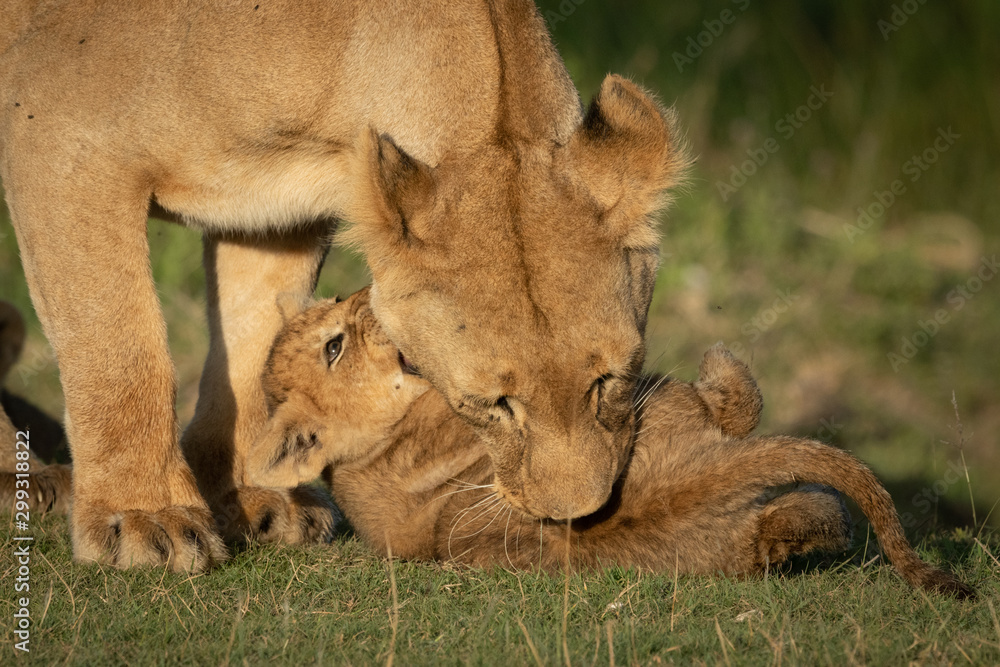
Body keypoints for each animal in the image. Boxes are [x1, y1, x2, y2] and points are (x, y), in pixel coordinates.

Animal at [1, 0, 686, 570]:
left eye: (610, 380)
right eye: (491, 404)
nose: (575, 516)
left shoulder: (270, 206)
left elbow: (252, 343)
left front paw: (251, 494)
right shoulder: (60, 141)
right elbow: (119, 345)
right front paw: (146, 518)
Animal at [248, 288, 973, 599]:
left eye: (334, 311)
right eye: (334, 346)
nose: (365, 289)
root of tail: (695, 479)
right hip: (655, 408)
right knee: (743, 414)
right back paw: (717, 363)